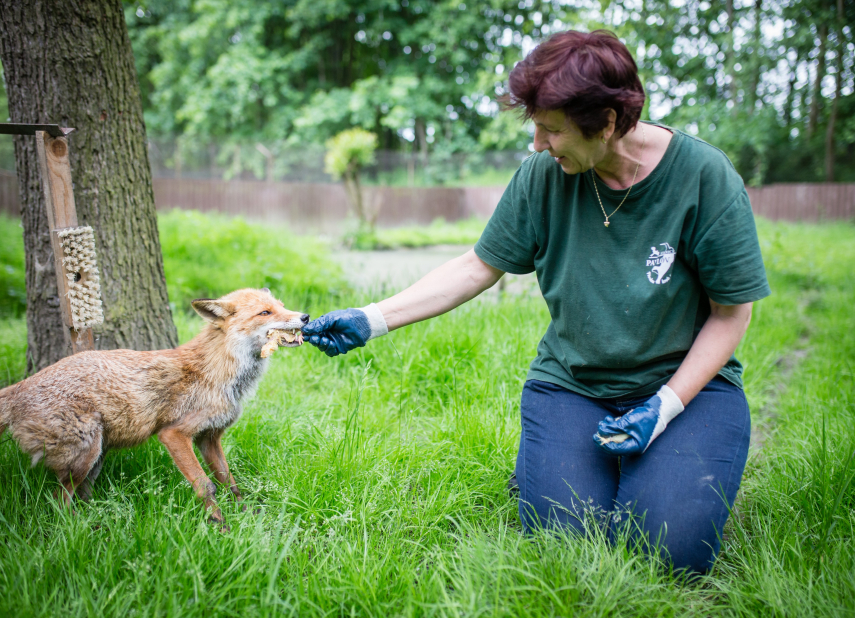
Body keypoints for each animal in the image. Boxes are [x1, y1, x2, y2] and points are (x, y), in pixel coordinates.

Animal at [0, 286, 308, 524]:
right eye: (265, 313)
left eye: (281, 306)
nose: (305, 317)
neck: (220, 373)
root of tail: (20, 386)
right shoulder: (174, 434)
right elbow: (206, 486)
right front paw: (220, 527)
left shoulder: (209, 437)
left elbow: (229, 481)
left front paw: (247, 517)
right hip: (85, 457)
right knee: (57, 501)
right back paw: (78, 530)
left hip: (96, 457)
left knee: (77, 497)